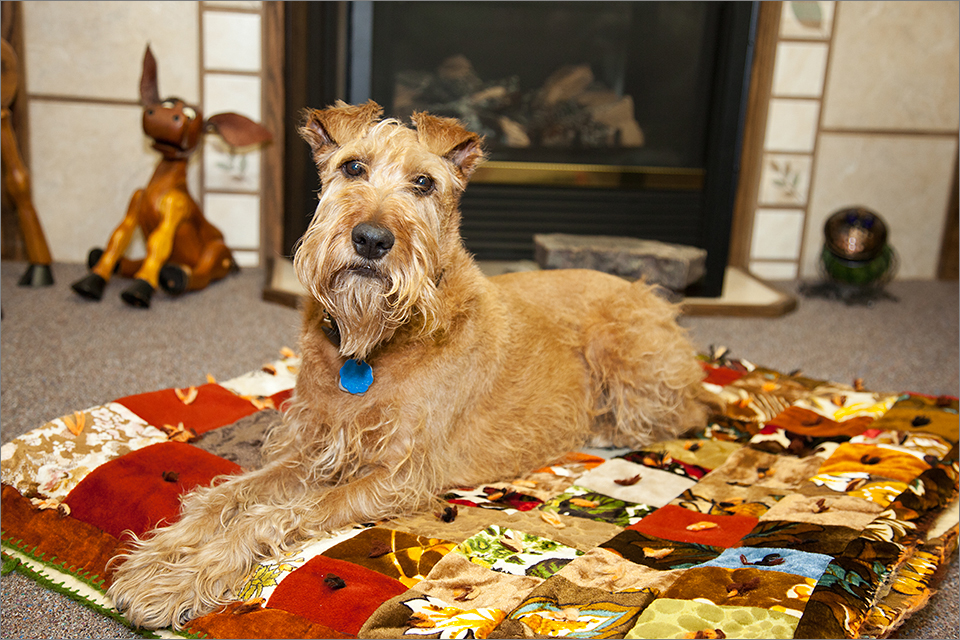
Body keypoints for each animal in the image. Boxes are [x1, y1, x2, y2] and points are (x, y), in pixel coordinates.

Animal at [109, 101, 708, 632]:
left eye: (424, 183)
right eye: (353, 167)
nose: (372, 239)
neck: (372, 346)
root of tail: (654, 296)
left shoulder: (396, 474)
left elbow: (273, 516)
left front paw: (178, 582)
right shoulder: (310, 447)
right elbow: (224, 497)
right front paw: (157, 560)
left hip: (626, 360)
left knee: (687, 412)